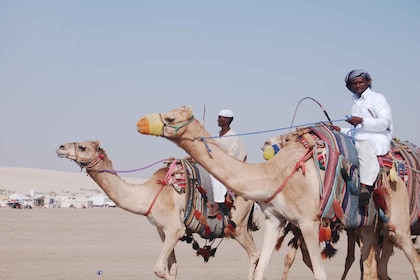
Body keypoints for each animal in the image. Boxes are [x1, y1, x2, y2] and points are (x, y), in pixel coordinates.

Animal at [55, 141, 260, 278]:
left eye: (83, 147)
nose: (61, 147)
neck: (148, 194)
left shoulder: (175, 229)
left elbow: (159, 269)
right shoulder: (163, 231)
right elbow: (173, 268)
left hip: (237, 226)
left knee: (254, 254)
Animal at [138, 105, 420, 280]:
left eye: (170, 118)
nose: (140, 122)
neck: (275, 174)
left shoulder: (308, 222)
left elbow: (320, 273)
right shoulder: (275, 219)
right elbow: (261, 270)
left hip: (396, 215)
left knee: (412, 256)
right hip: (368, 225)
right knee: (371, 268)